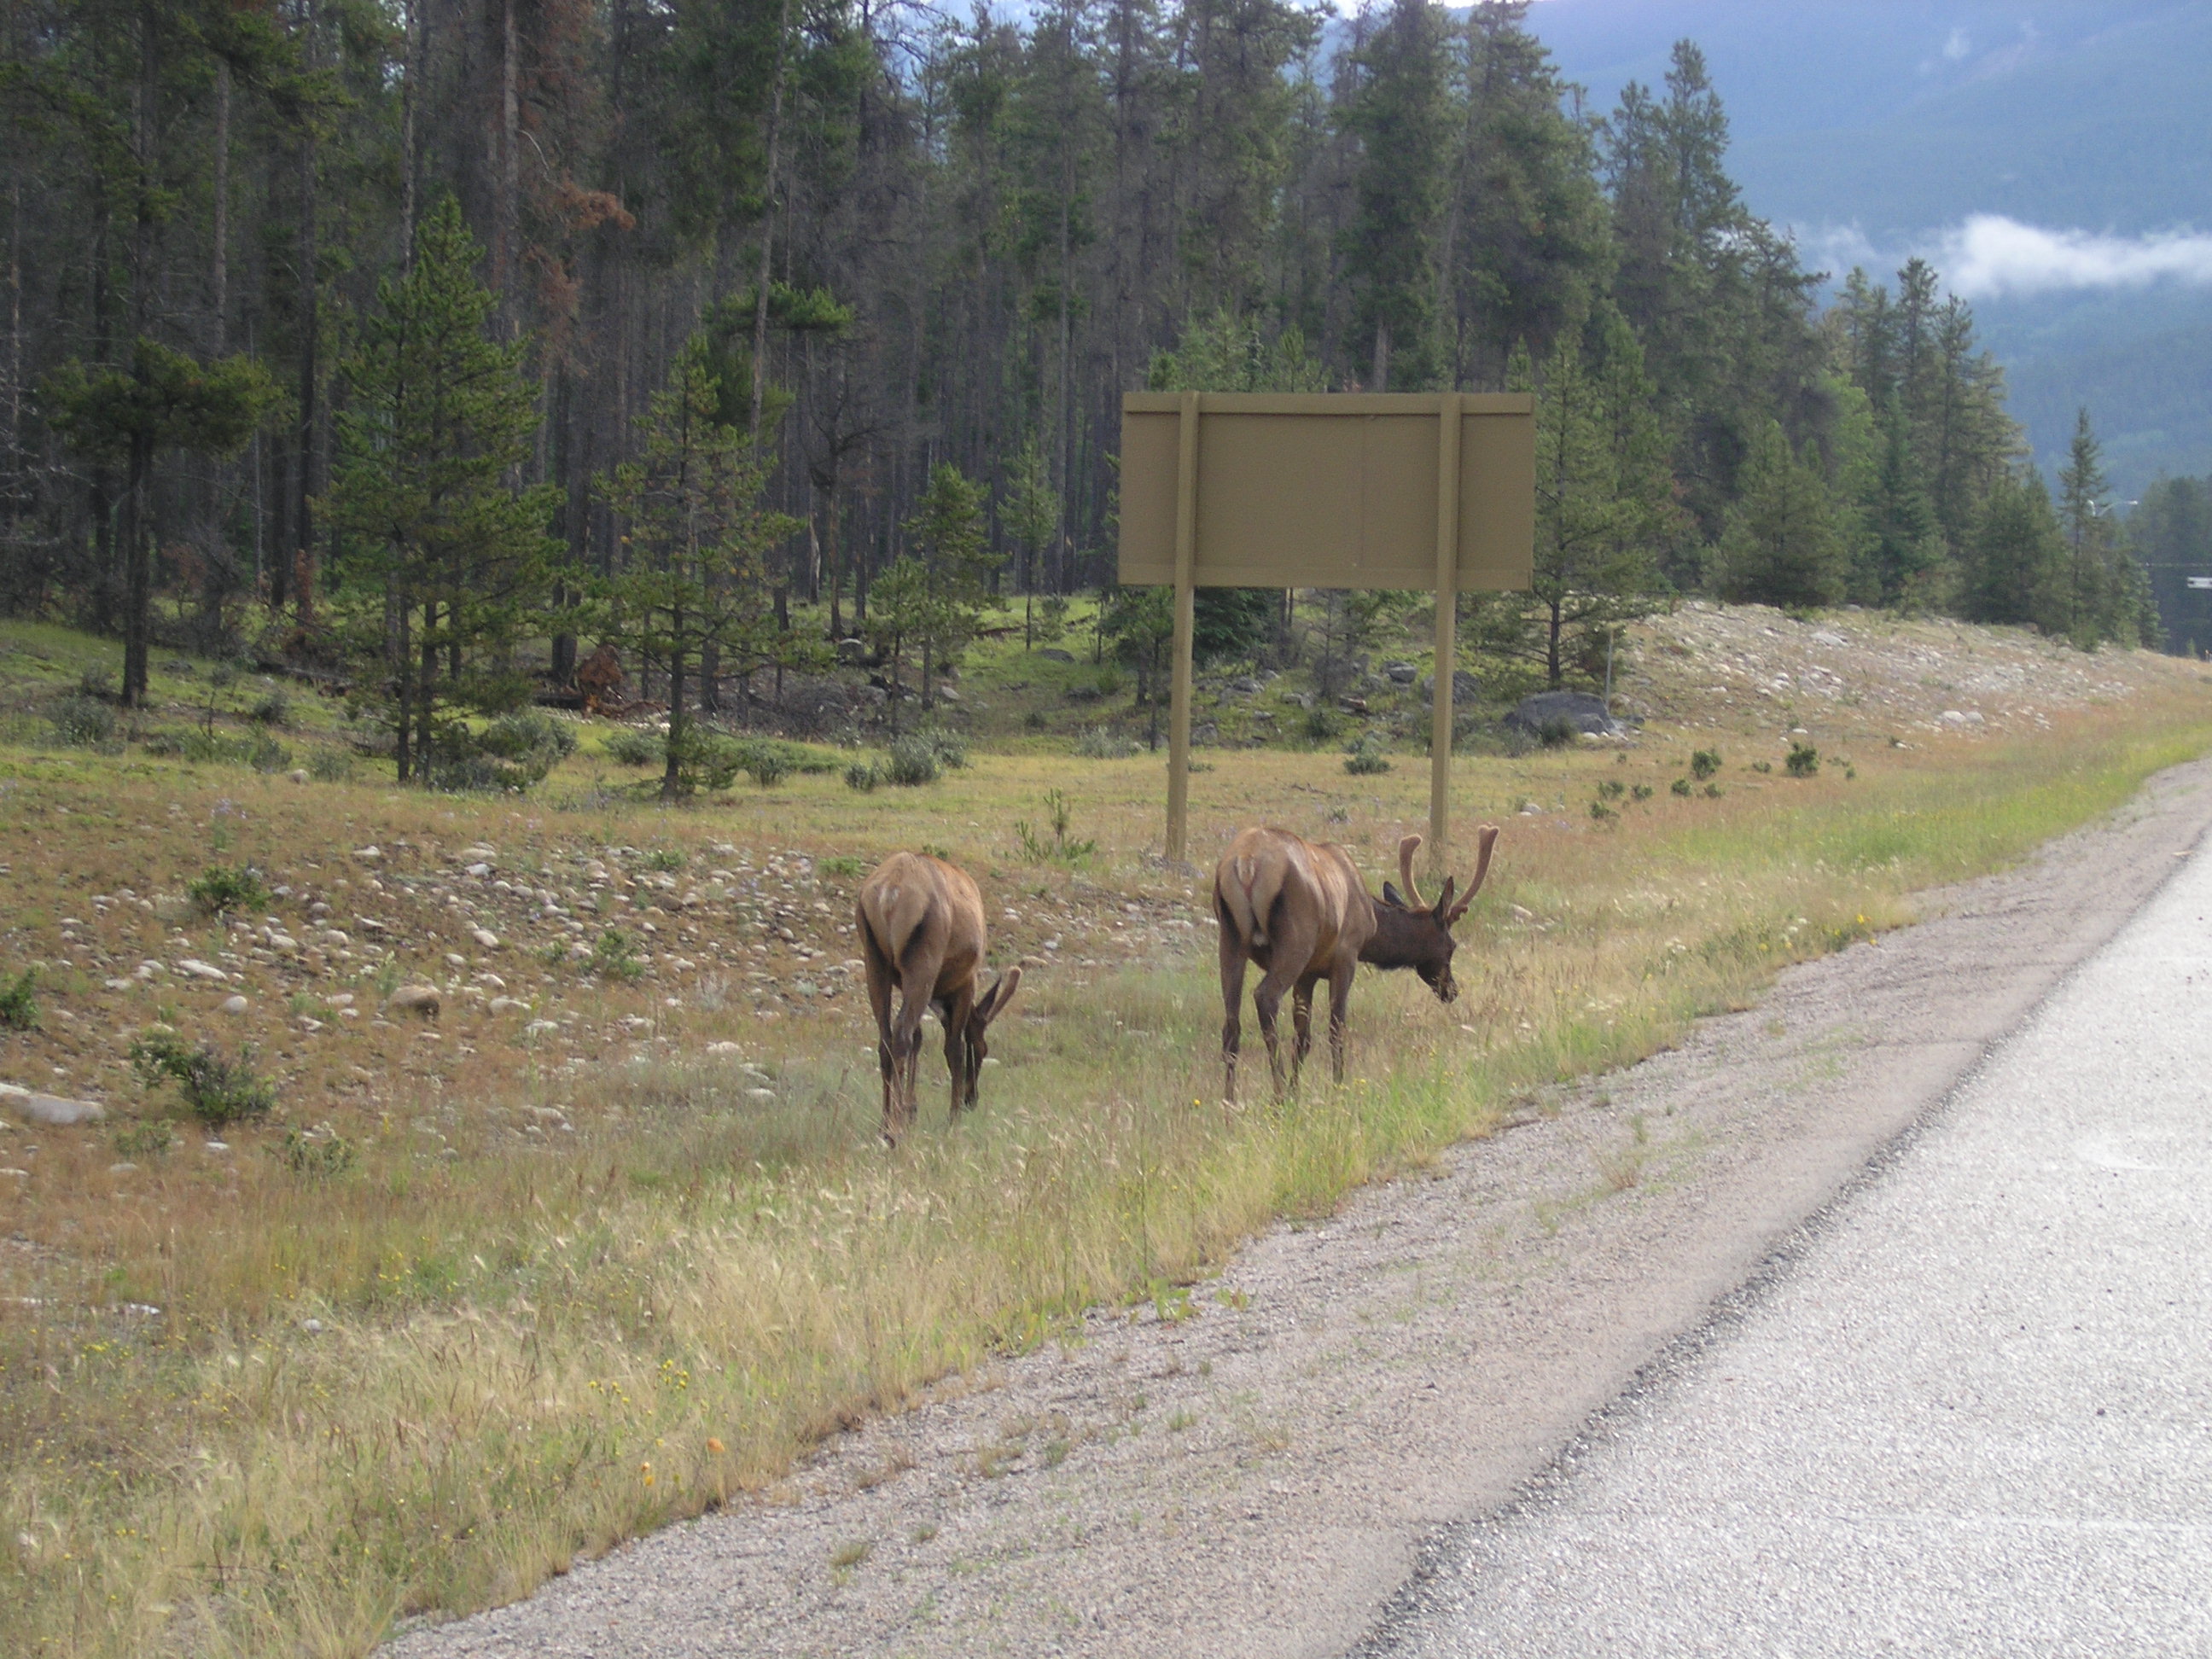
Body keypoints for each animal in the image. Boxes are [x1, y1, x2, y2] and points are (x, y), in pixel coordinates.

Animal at [853, 858, 1026, 1141]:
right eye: (983, 1049)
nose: (971, 1099)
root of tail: (890, 893)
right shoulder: (966, 982)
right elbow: (953, 1047)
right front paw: (953, 1118)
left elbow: (920, 1038)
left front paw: (912, 1109)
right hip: (924, 959)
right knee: (901, 1034)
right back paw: (895, 1130)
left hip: (875, 960)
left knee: (886, 1038)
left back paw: (885, 1124)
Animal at [1212, 827, 1504, 1106]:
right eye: (1452, 946)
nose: (1451, 990)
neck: (1371, 924)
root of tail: (1246, 863)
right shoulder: (1345, 956)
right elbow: (1336, 1029)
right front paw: (1337, 1087)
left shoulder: (1308, 974)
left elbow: (1303, 1038)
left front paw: (1298, 1093)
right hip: (1296, 939)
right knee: (1265, 997)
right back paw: (1278, 1095)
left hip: (1229, 939)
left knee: (1231, 1025)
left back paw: (1229, 1101)